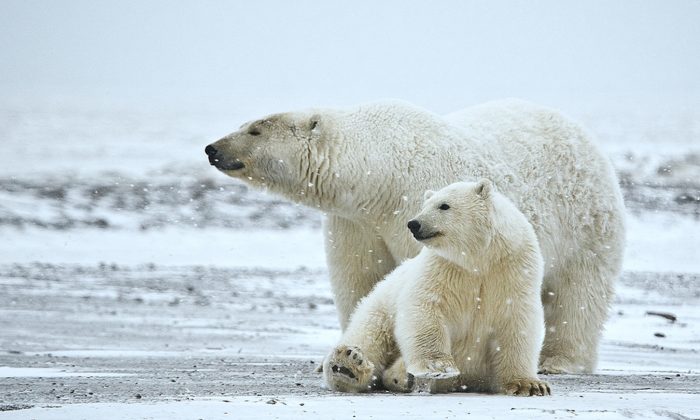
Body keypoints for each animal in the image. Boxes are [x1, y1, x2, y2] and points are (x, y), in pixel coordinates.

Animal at [205, 99, 628, 374]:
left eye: (255, 128)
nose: (212, 148)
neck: (379, 175)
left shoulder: (415, 205)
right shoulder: (356, 222)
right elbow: (361, 280)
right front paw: (346, 354)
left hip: (586, 223)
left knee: (578, 294)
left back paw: (560, 362)